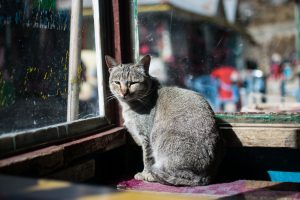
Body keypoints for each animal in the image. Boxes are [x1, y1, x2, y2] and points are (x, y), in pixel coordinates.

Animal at [104, 54, 224, 186]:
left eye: (133, 83)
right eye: (117, 82)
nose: (124, 92)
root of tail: (207, 176)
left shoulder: (146, 138)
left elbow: (147, 159)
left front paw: (145, 174)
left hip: (161, 140)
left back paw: (154, 176)